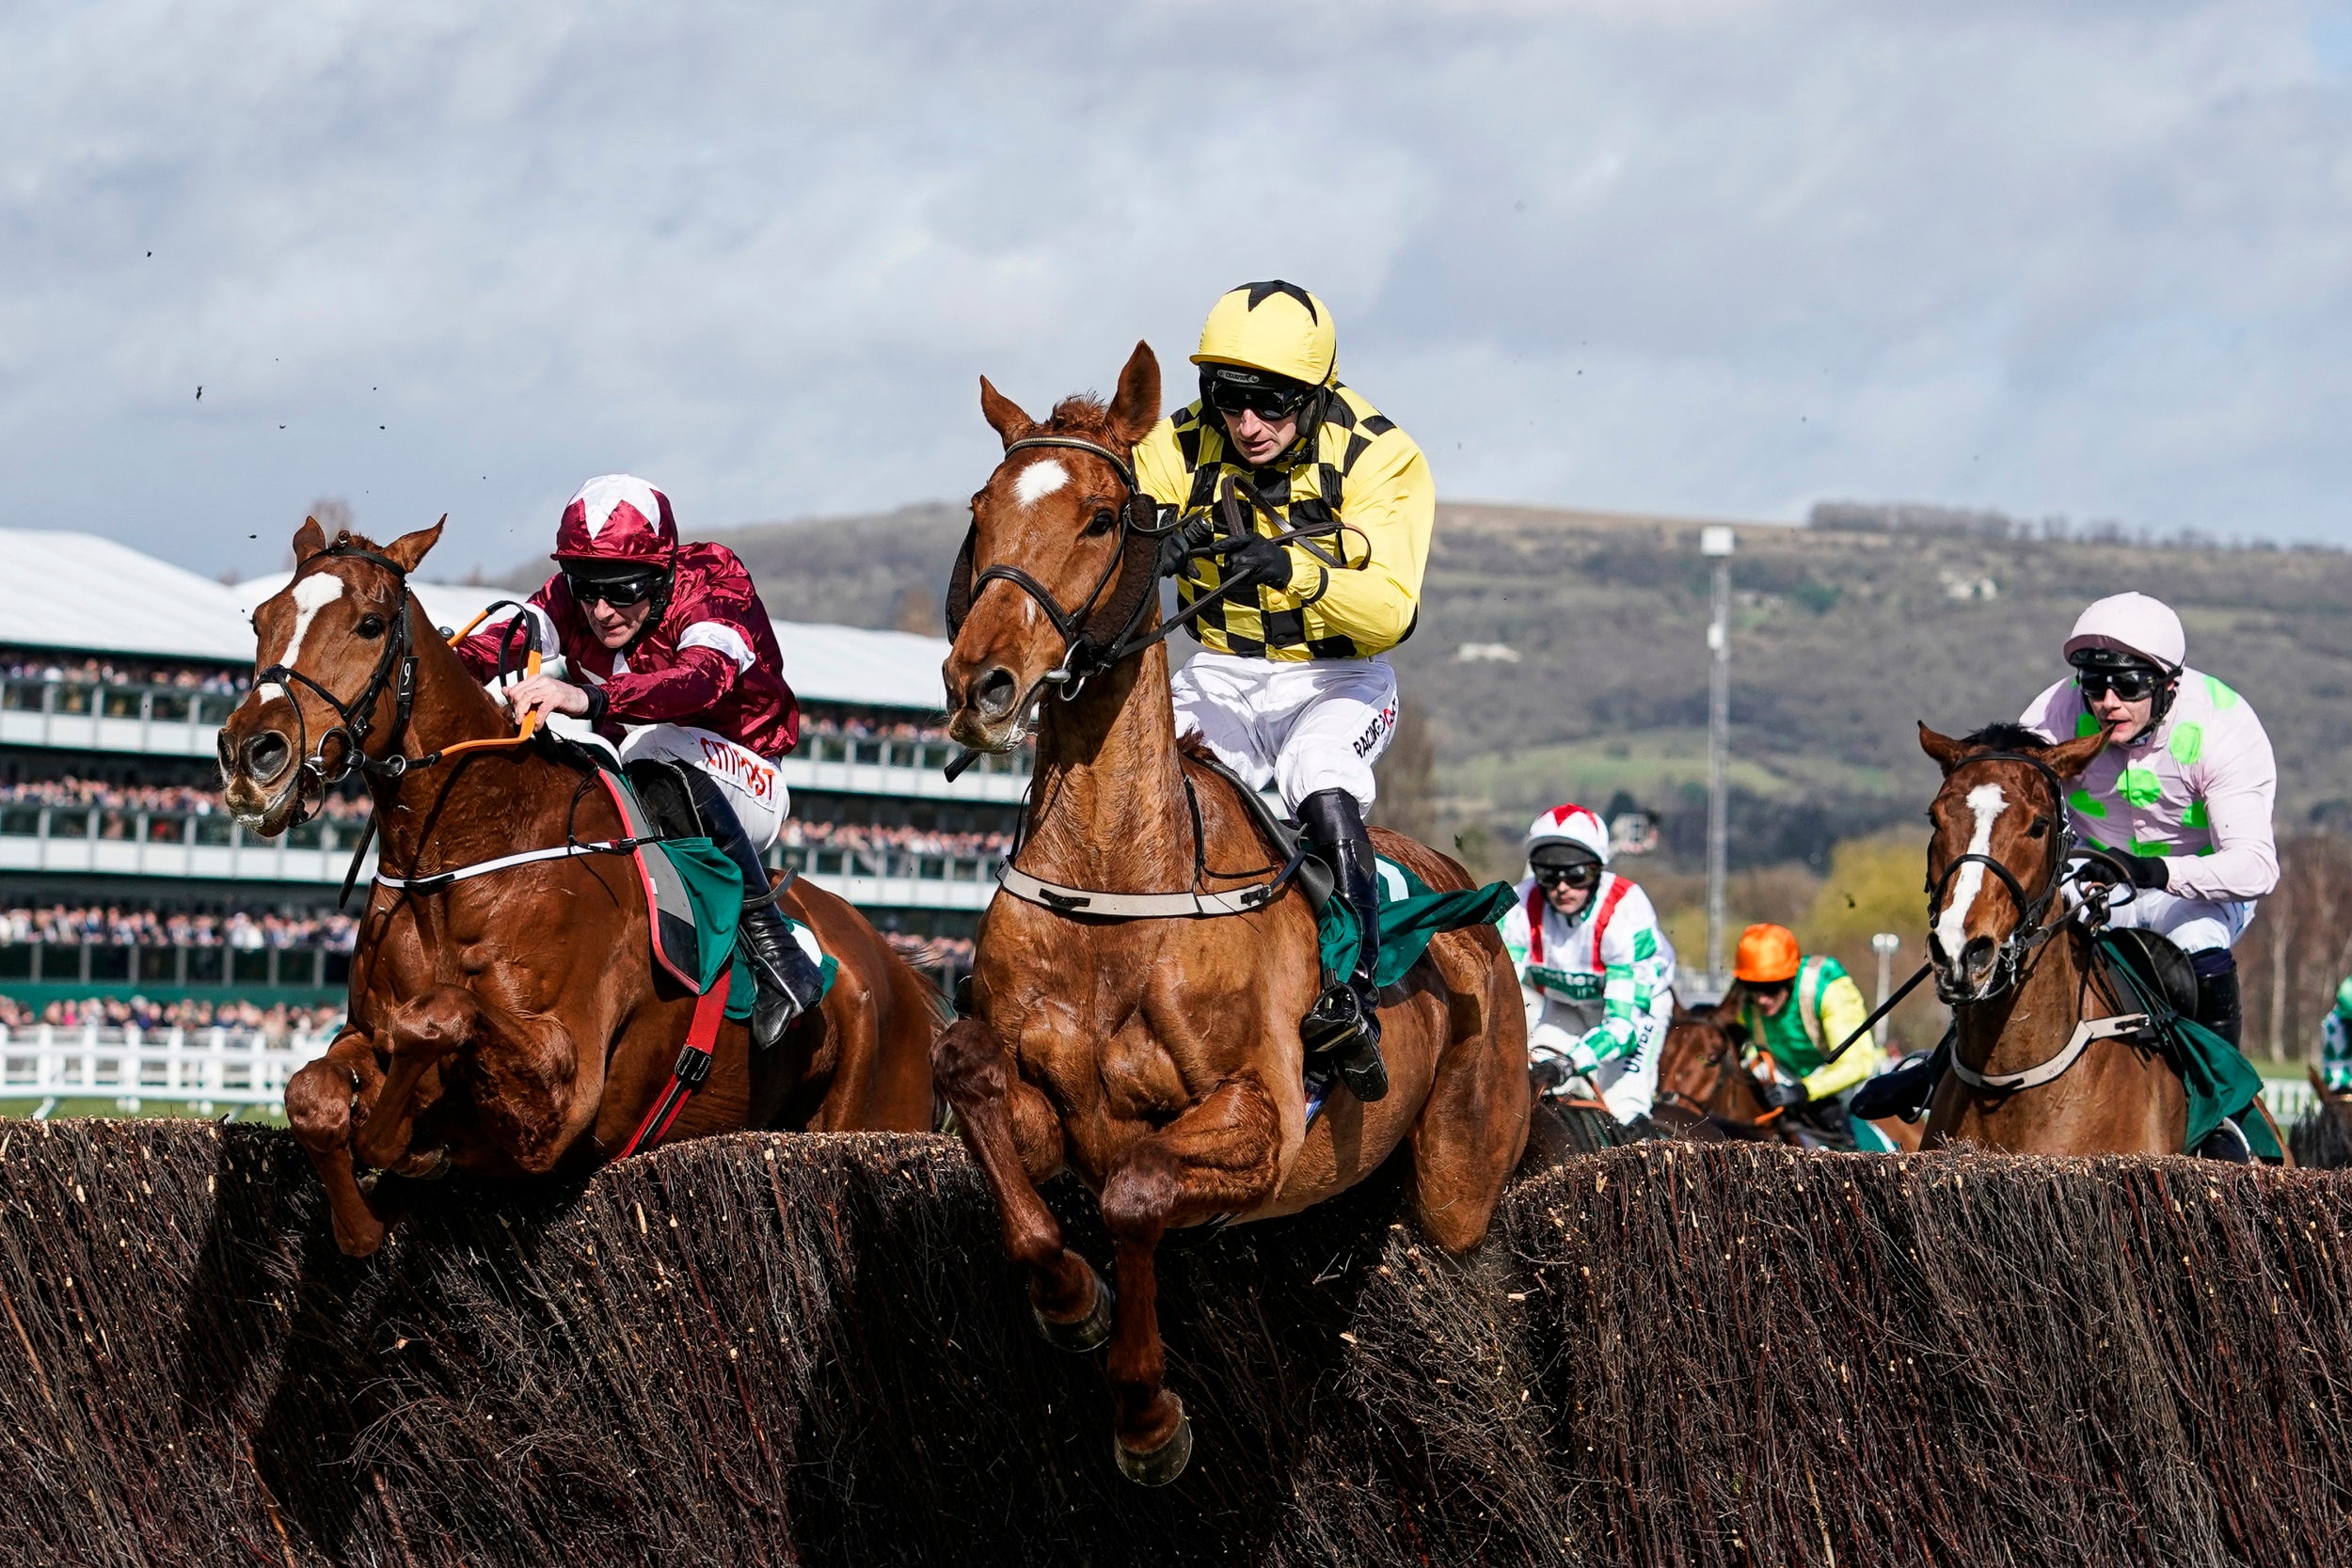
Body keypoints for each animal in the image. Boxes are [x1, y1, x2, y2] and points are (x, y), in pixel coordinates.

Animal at [216, 521, 936, 1259]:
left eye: (370, 623)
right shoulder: (366, 1033)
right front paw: (365, 1205)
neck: (462, 857)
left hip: (874, 1111)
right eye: (263, 619)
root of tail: (900, 972)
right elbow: (313, 1095)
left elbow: (440, 1017)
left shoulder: (561, 1089)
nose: (251, 754)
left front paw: (408, 1143)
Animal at [927, 342, 1534, 1485]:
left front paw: (1145, 1414)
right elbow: (975, 1080)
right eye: (981, 510)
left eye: (1101, 518)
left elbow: (1134, 1191)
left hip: (1460, 1181)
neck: (1118, 881)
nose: (980, 684)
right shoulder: (1043, 1117)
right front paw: (1069, 1301)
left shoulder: (1262, 1125)